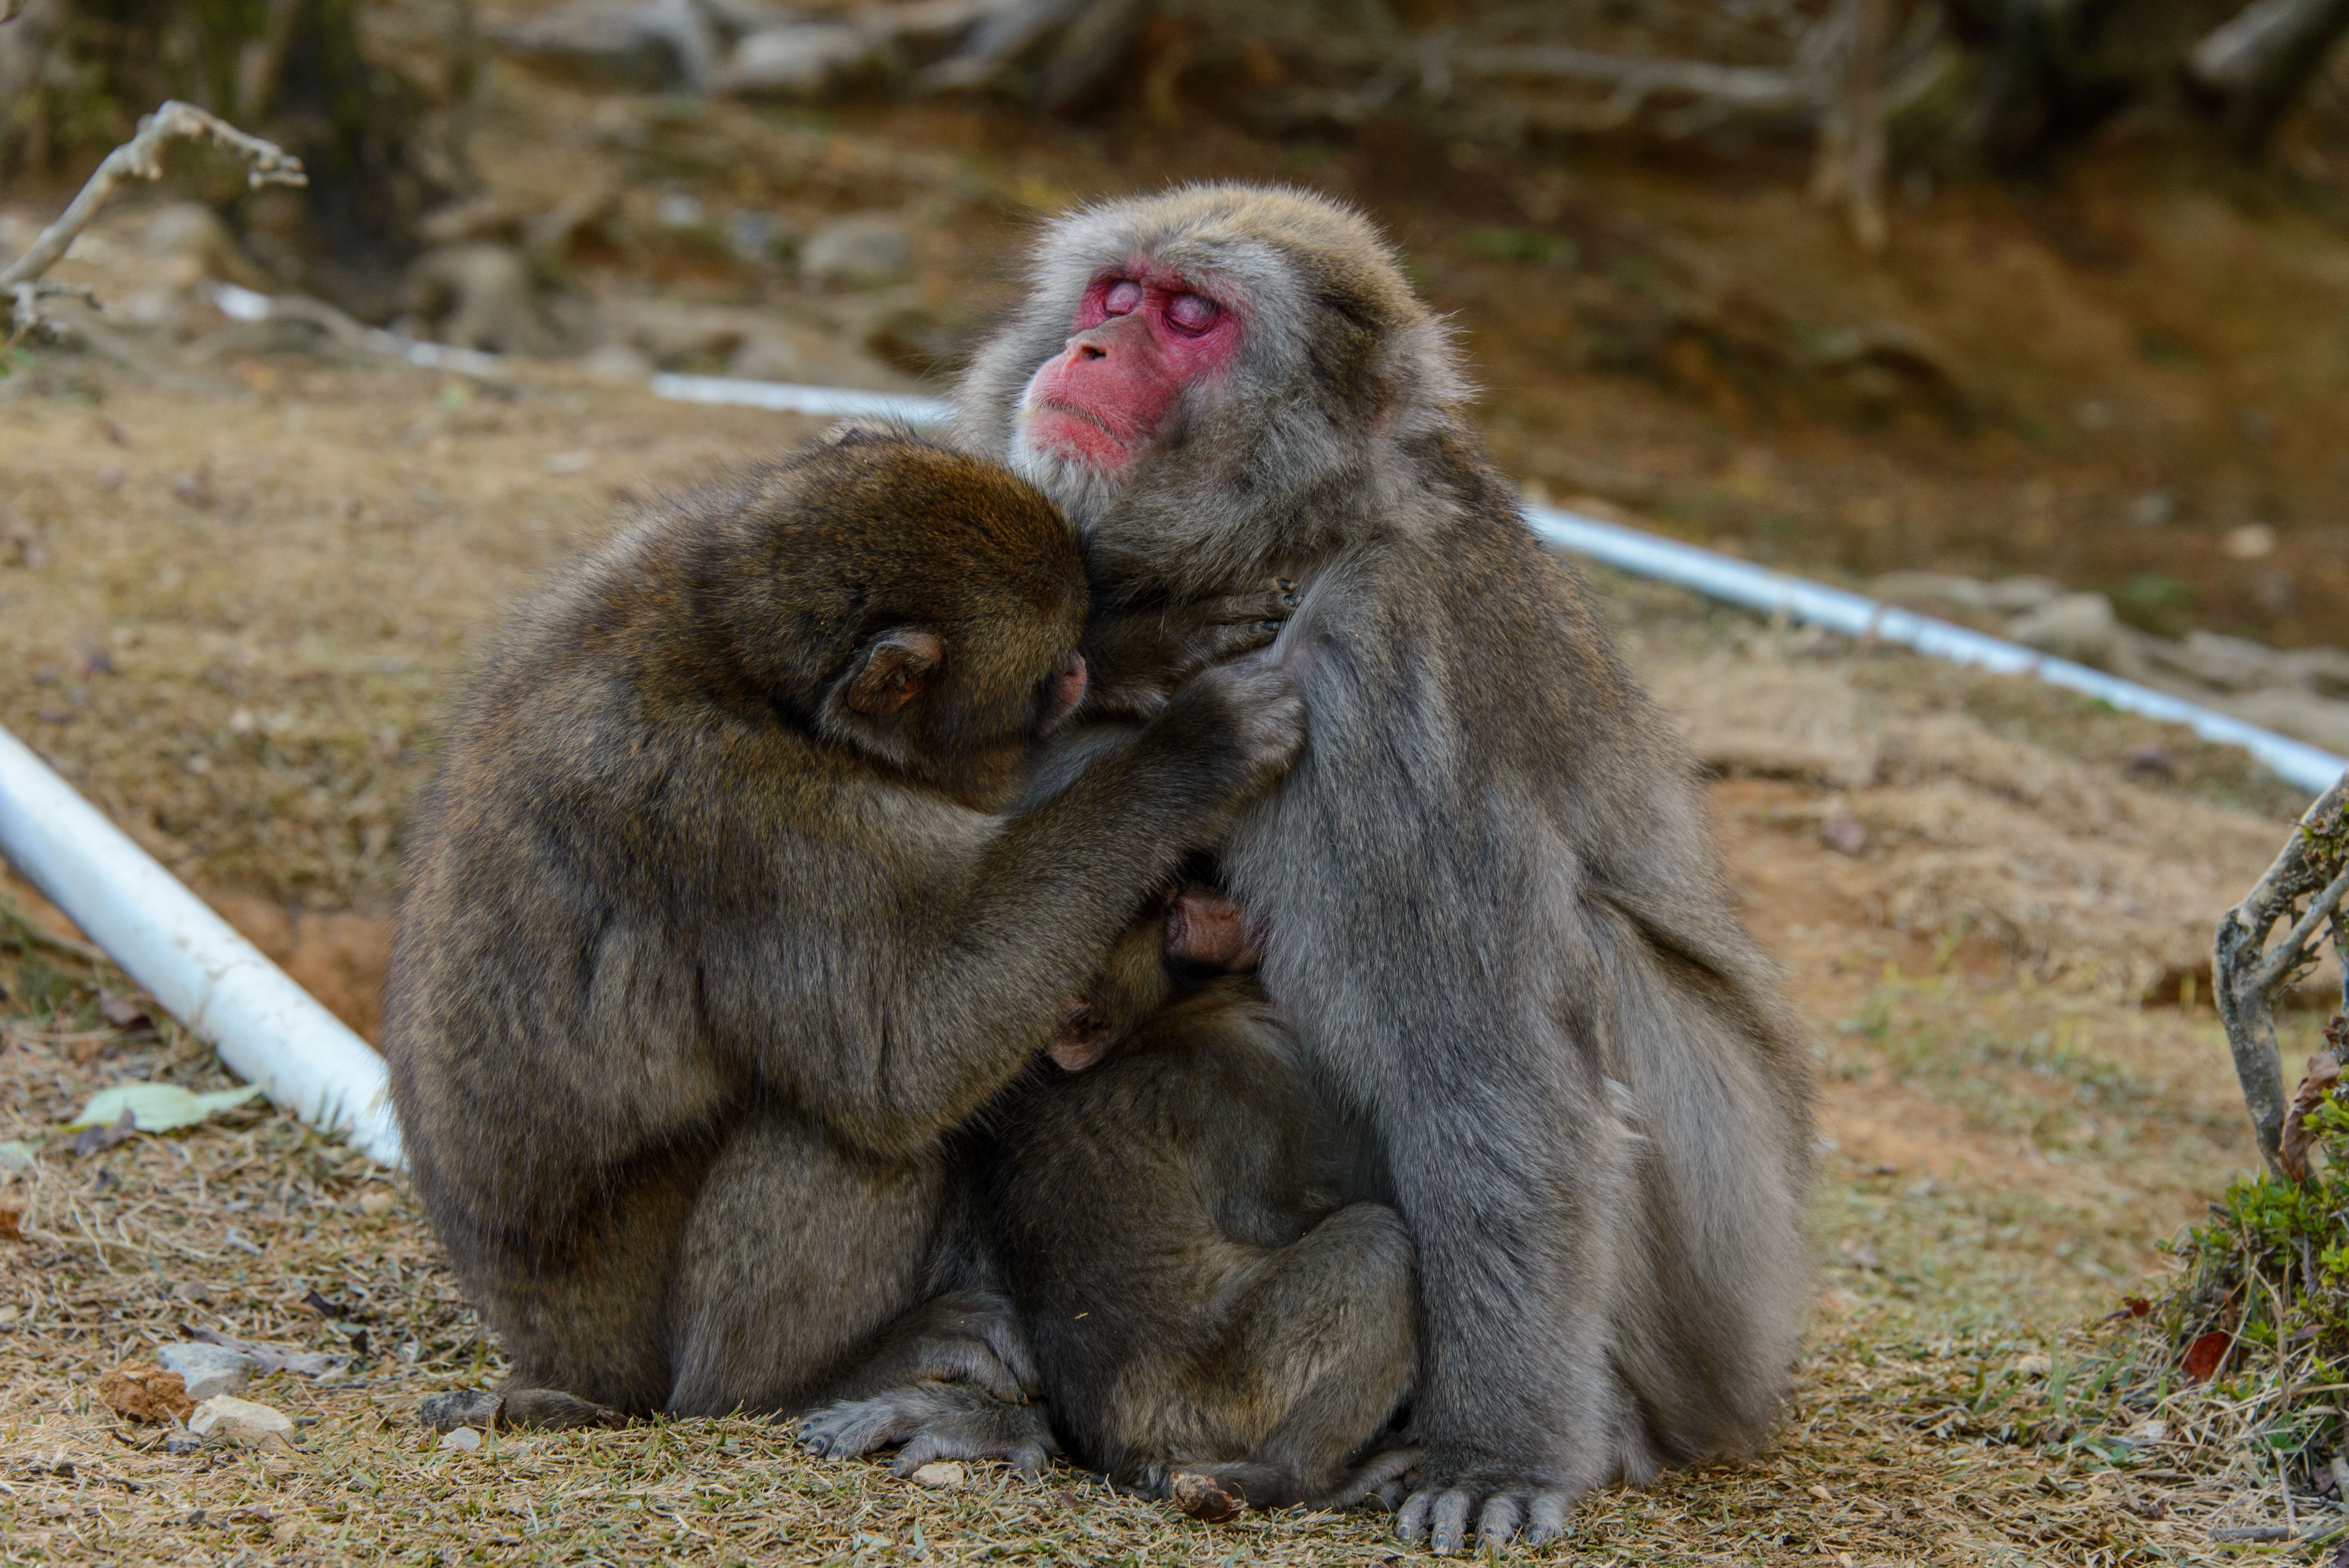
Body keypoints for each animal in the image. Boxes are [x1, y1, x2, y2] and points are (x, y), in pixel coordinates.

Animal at [379, 430, 1308, 1443]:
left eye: (1068, 651)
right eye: (1041, 675)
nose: (1073, 673)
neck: (744, 660)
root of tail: (567, 1363)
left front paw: (1148, 645)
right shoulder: (737, 816)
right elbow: (907, 1050)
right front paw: (1195, 744)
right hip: (650, 1346)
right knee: (842, 1135)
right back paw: (806, 1377)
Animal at [939, 185, 1817, 1555]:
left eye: (1190, 318)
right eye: (1115, 294)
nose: (1085, 349)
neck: (1291, 542)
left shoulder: (1388, 673)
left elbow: (1493, 1082)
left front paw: (1496, 1454)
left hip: (1734, 1269)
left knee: (1588, 969)